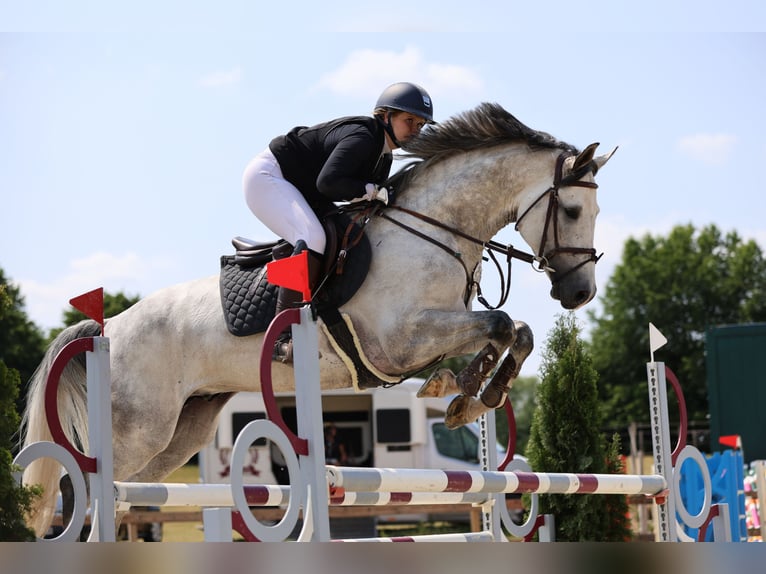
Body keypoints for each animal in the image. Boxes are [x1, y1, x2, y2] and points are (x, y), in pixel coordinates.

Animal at [19, 101, 616, 536]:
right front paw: (464, 391)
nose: (580, 292)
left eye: (595, 211)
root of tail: (108, 329)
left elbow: (516, 331)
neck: (433, 229)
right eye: (570, 210)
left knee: (126, 493)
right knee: (88, 488)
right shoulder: (400, 340)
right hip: (139, 426)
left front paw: (471, 394)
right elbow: (500, 324)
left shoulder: (427, 335)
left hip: (180, 432)